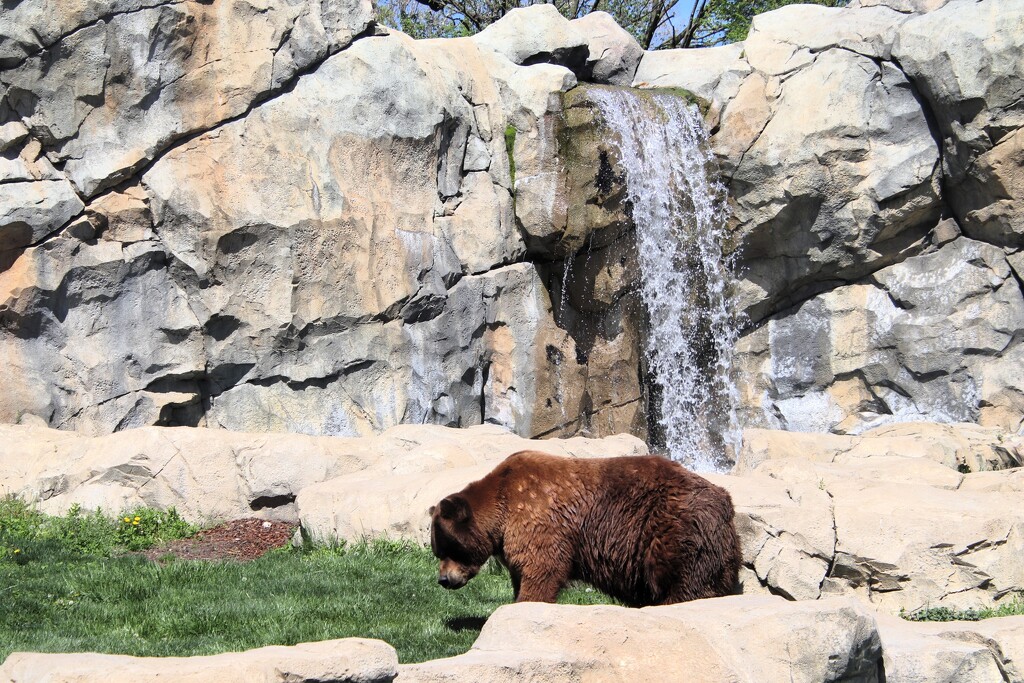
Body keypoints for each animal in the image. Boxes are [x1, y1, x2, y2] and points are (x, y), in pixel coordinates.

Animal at [428, 450, 741, 606]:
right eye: (437, 551)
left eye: (447, 548)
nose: (443, 580)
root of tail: (726, 501)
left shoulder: (538, 517)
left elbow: (543, 568)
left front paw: (526, 603)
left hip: (672, 527)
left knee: (683, 578)